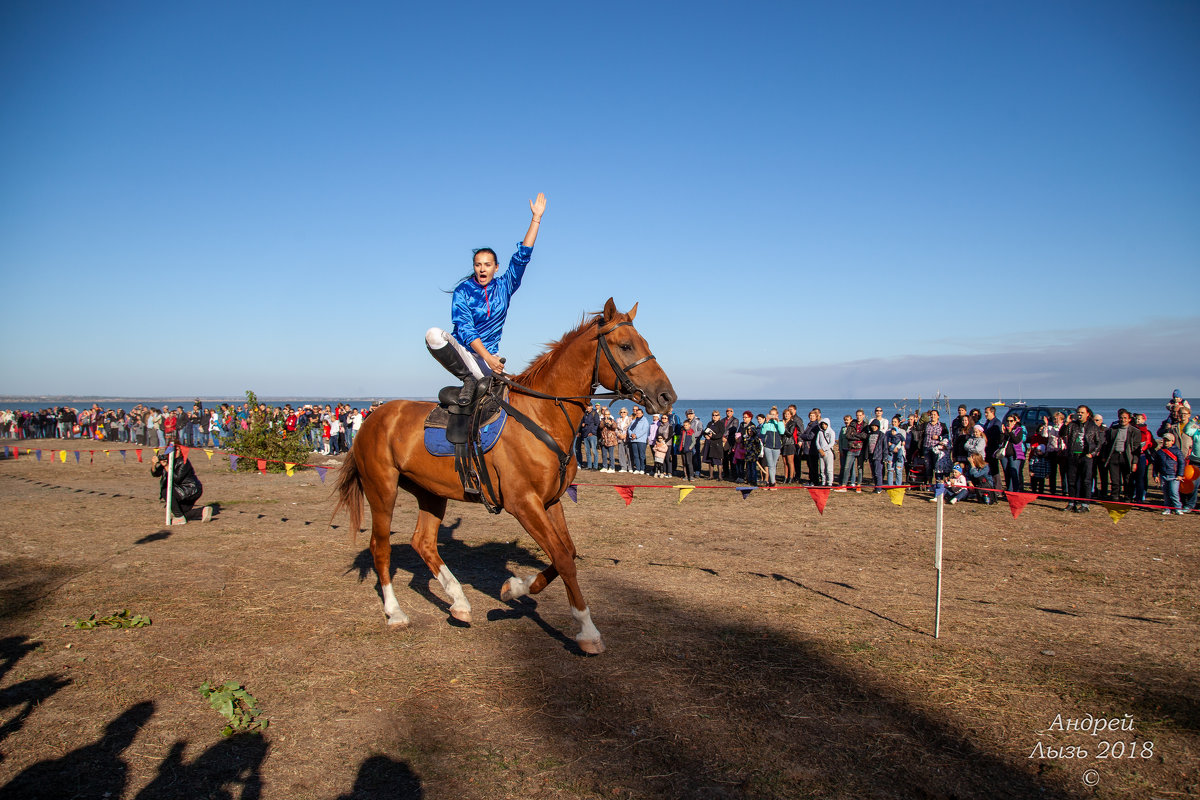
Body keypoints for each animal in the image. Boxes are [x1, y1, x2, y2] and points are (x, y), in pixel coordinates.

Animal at [333, 297, 676, 652]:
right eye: (625, 345)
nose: (667, 396)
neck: (541, 415)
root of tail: (373, 417)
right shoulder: (523, 503)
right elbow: (564, 559)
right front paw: (587, 631)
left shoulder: (550, 502)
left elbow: (566, 553)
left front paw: (517, 588)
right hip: (382, 490)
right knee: (381, 547)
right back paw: (395, 612)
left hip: (431, 493)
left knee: (423, 542)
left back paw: (459, 603)